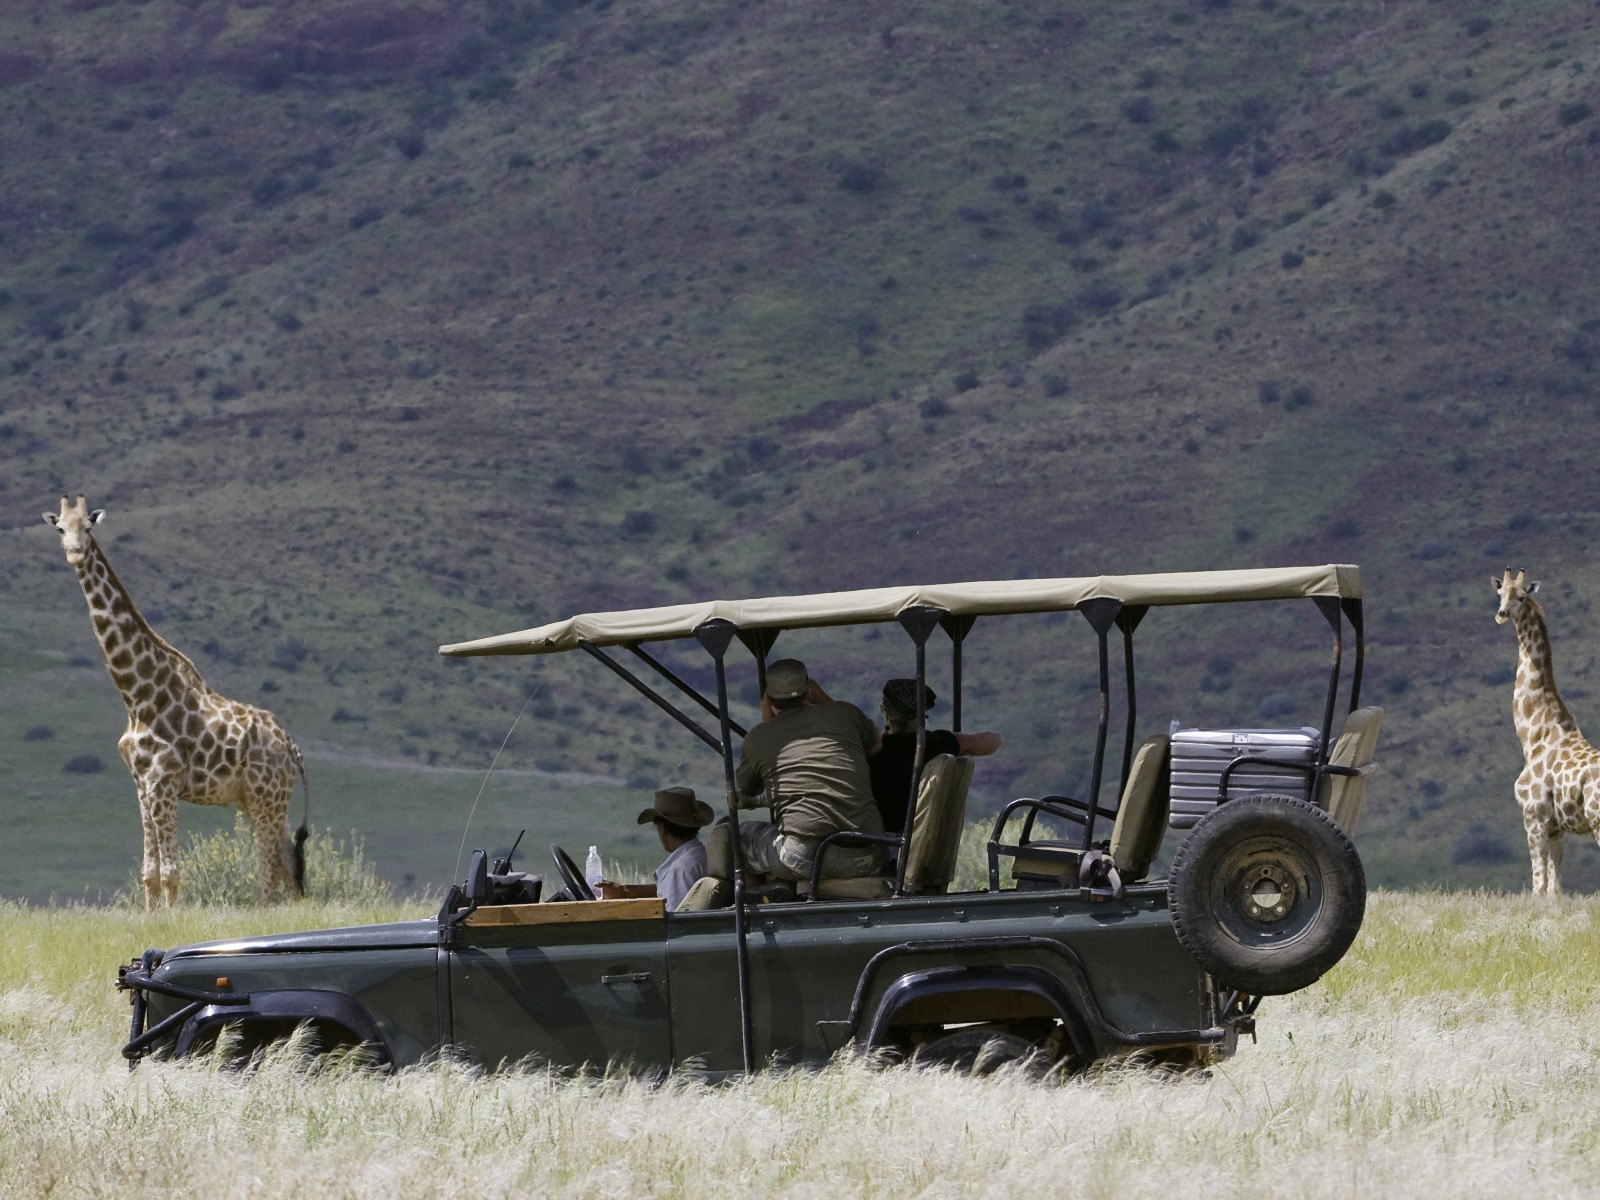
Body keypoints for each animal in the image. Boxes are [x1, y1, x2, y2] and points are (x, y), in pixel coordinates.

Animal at [44, 496, 309, 908]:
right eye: (60, 528)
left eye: (87, 527)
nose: (74, 553)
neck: (136, 696)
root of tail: (292, 747)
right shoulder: (142, 786)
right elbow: (149, 873)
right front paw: (151, 915)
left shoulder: (163, 783)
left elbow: (171, 872)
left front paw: (171, 916)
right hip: (256, 799)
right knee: (286, 861)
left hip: (266, 796)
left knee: (271, 863)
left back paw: (267, 909)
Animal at [1493, 566, 1600, 895]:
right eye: (1500, 593)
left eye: (1521, 596)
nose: (1501, 614)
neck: (1533, 735)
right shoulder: (1556, 828)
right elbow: (1555, 888)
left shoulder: (1534, 816)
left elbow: (1538, 885)